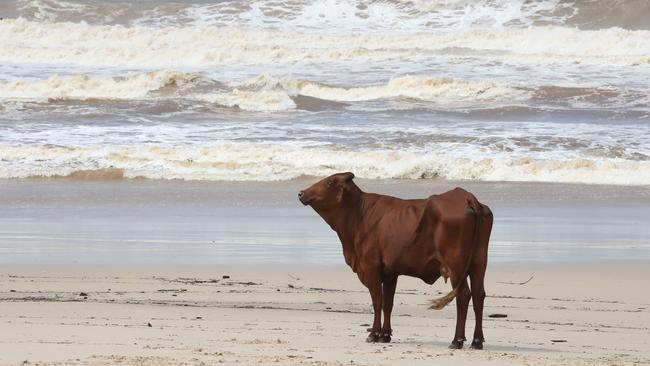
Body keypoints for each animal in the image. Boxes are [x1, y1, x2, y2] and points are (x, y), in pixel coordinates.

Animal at [298, 172, 492, 348]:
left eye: (330, 182)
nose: (301, 193)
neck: (360, 215)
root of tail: (466, 196)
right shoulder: (391, 273)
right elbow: (388, 304)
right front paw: (385, 335)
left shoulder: (370, 267)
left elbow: (377, 302)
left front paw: (374, 334)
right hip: (479, 262)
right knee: (479, 295)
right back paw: (477, 341)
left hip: (456, 265)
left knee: (463, 294)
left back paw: (457, 340)